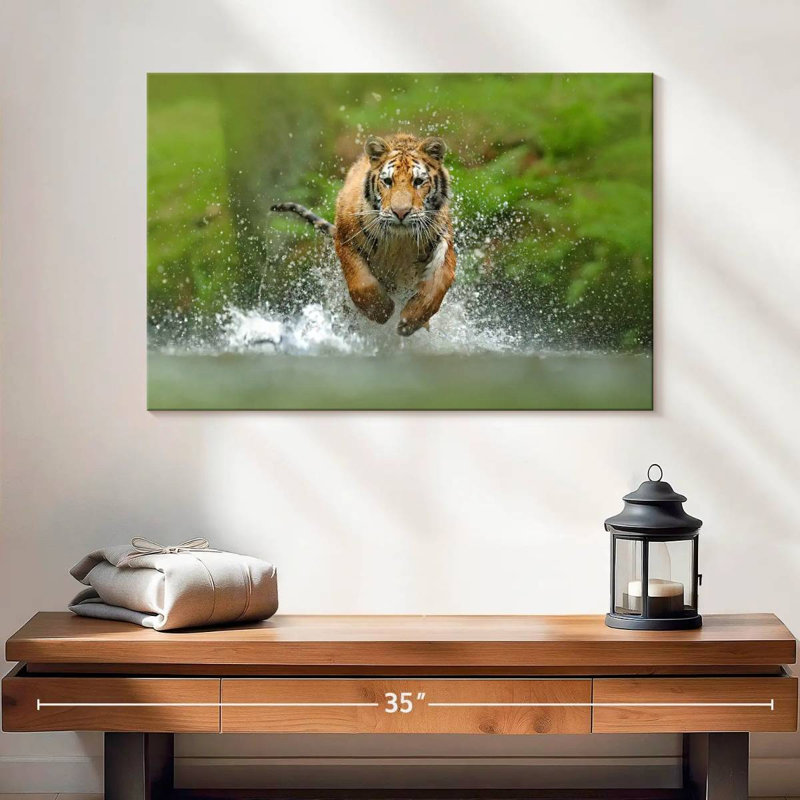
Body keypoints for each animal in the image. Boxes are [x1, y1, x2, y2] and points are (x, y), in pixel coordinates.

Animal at [272, 133, 456, 336]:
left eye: (418, 182)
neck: (400, 240)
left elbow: (438, 284)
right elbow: (361, 282)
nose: (400, 212)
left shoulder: (443, 240)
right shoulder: (345, 239)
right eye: (388, 181)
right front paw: (382, 311)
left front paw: (410, 321)